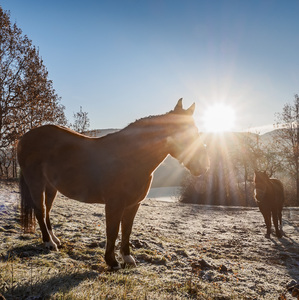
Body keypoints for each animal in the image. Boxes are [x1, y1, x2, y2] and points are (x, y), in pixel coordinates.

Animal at [17, 98, 209, 270]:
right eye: (184, 133)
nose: (204, 166)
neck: (131, 158)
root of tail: (24, 137)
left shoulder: (133, 204)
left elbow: (126, 230)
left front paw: (128, 258)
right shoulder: (114, 204)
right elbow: (113, 230)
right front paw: (112, 261)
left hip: (51, 187)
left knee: (47, 211)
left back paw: (55, 239)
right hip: (36, 183)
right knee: (40, 211)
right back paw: (49, 243)